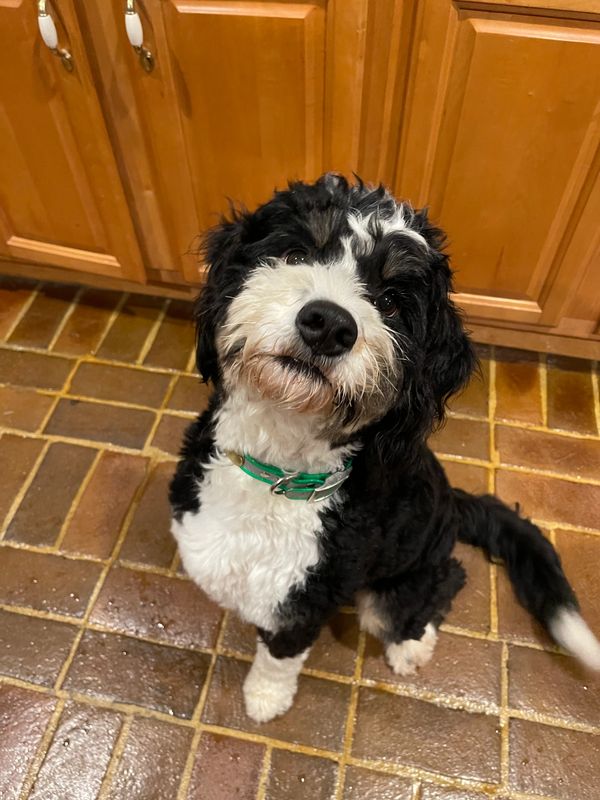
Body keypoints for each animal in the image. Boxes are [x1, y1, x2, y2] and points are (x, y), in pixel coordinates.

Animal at [169, 175, 600, 724]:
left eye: (392, 301)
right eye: (295, 252)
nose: (329, 324)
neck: (276, 473)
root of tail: (453, 502)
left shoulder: (306, 602)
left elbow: (278, 657)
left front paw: (265, 698)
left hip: (403, 579)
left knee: (440, 584)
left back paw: (411, 646)